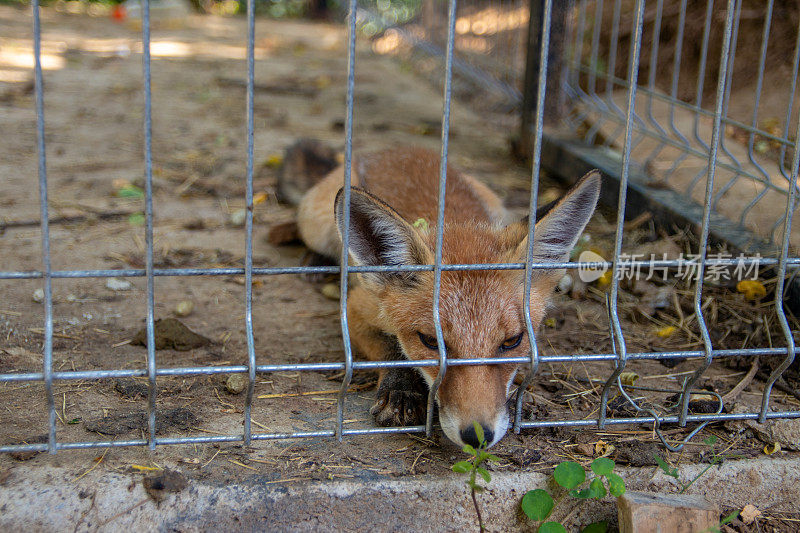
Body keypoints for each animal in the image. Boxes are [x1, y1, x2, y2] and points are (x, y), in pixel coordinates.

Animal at [278, 139, 596, 446]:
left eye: (513, 341)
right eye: (431, 342)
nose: (477, 437)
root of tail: (394, 149)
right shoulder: (357, 309)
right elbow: (392, 351)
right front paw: (401, 389)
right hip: (315, 223)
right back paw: (314, 259)